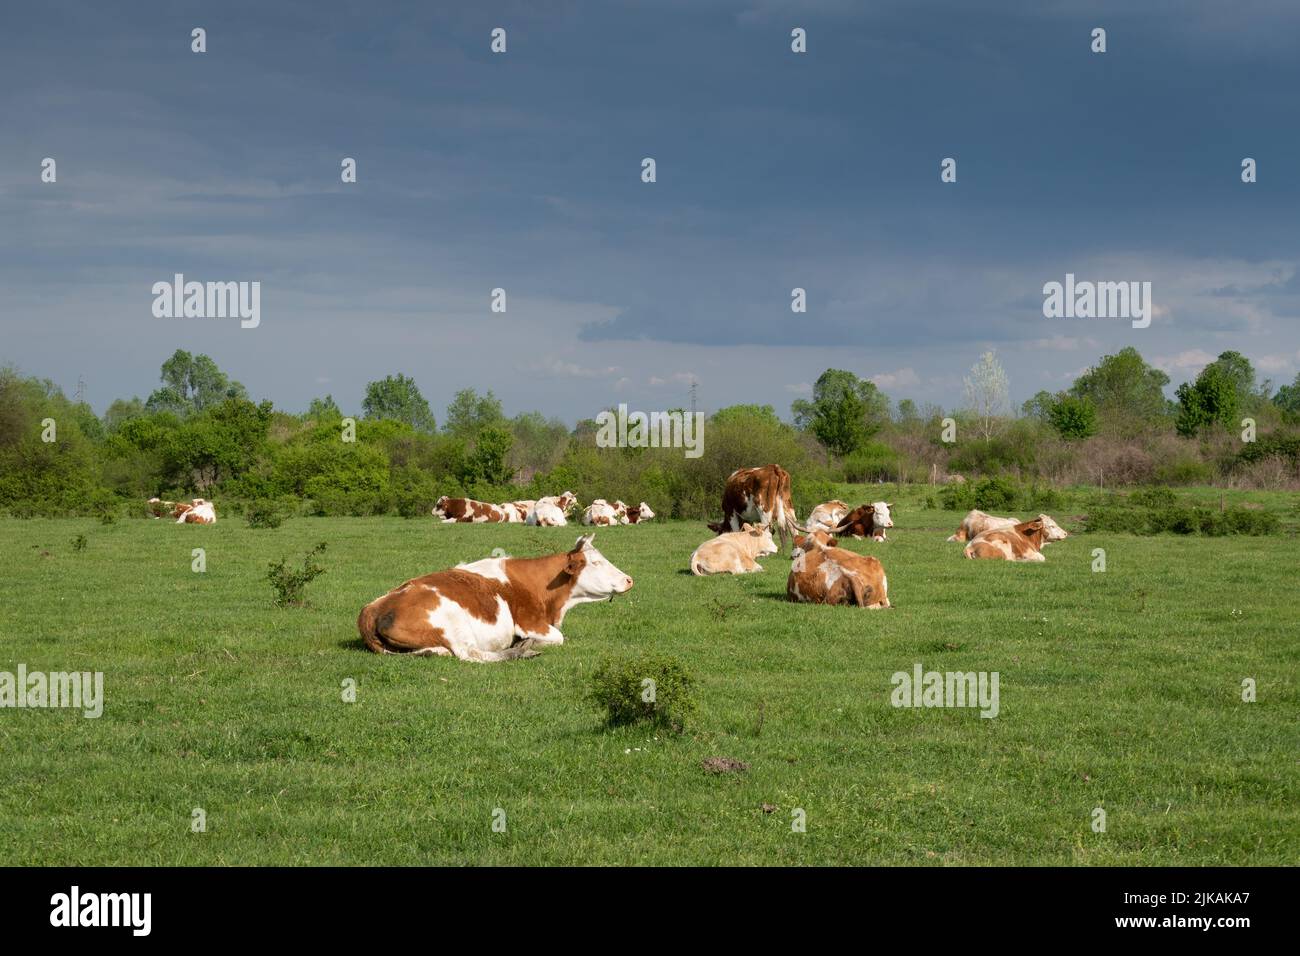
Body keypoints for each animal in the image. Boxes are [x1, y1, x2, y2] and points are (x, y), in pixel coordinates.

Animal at [357, 533, 633, 662]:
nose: (629, 579)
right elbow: (558, 637)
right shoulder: (531, 622)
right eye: (596, 563)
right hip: (455, 624)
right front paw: (527, 643)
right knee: (470, 654)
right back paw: (519, 652)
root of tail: (372, 609)